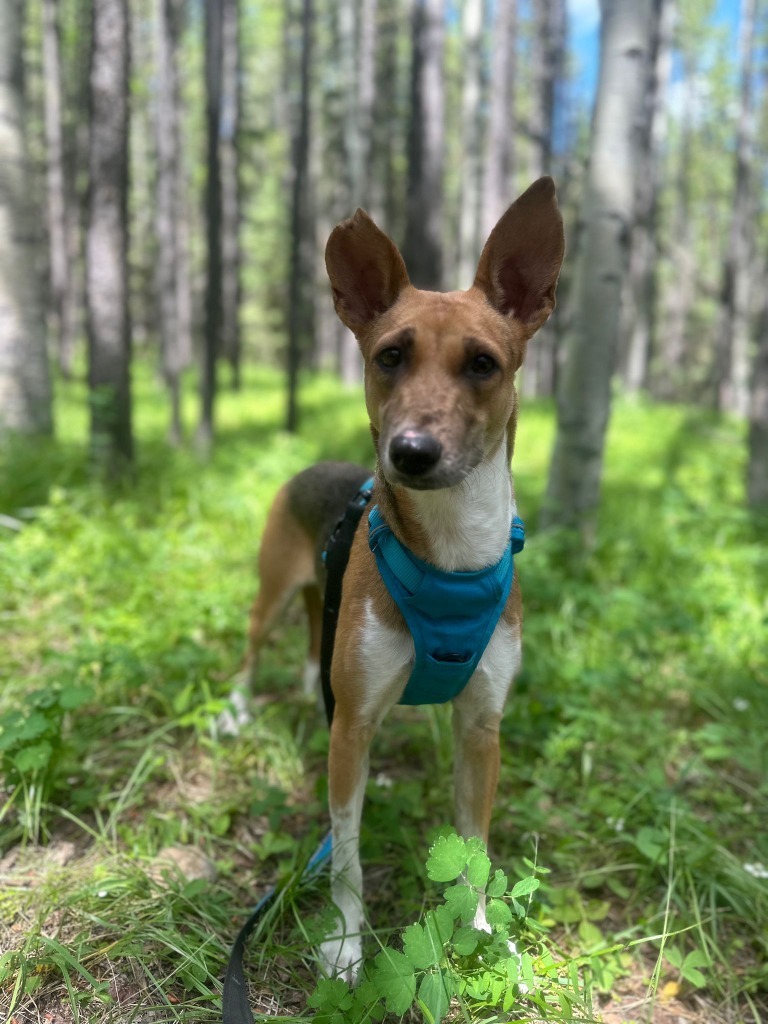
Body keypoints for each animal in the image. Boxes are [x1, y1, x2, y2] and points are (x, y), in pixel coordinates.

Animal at [244, 178, 565, 983]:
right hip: (272, 596)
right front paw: (345, 945)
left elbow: (475, 851)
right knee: (253, 649)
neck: (451, 553)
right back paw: (236, 708)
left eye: (483, 363)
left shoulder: (480, 728)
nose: (411, 452)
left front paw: (483, 937)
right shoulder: (355, 726)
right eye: (390, 355)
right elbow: (347, 856)